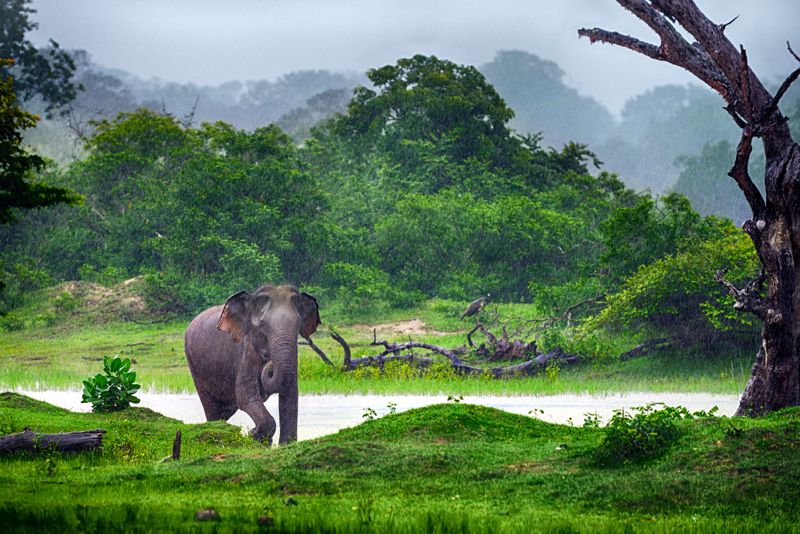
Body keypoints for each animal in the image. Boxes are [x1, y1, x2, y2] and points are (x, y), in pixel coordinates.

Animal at [184, 286, 318, 446]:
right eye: (262, 325)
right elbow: (245, 395)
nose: (269, 363)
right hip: (195, 366)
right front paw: (252, 434)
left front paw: (283, 443)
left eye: (298, 325)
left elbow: (290, 393)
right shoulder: (246, 349)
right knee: (212, 409)